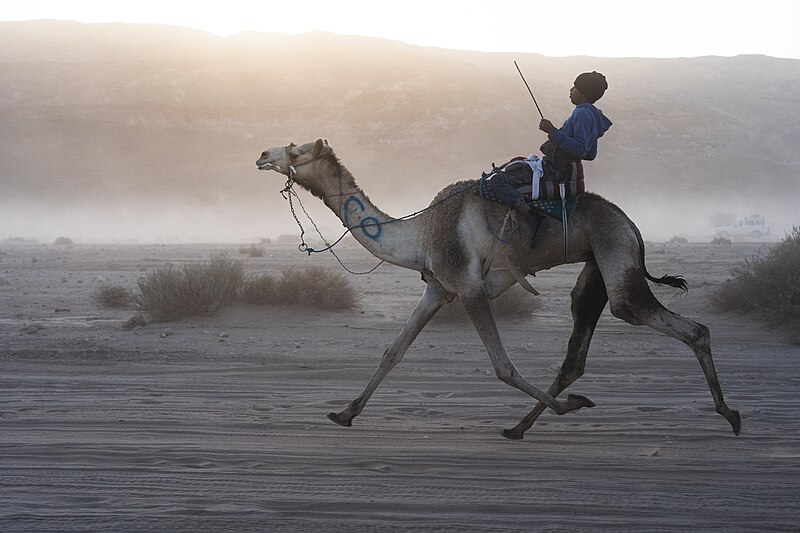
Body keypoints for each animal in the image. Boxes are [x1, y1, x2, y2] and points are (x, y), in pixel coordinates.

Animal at [256, 139, 744, 438]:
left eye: (296, 149)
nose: (262, 154)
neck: (422, 233)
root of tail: (632, 225)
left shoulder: (470, 289)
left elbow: (502, 367)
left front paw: (570, 408)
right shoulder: (438, 289)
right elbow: (393, 351)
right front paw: (344, 413)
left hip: (616, 256)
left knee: (681, 325)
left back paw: (731, 414)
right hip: (597, 269)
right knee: (576, 351)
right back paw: (520, 426)